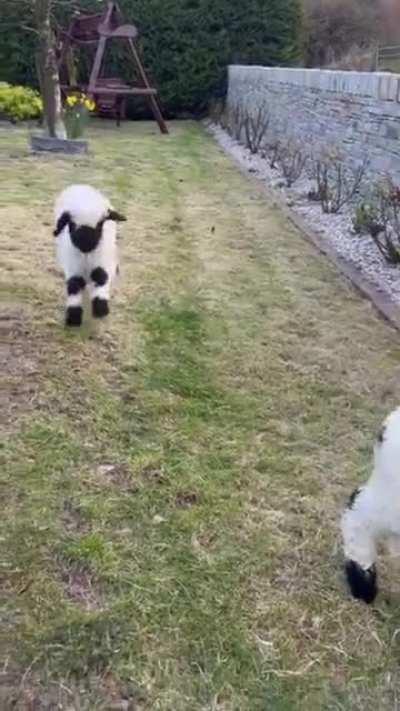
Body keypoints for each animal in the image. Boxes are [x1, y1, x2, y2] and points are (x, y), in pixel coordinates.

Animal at [54, 184, 126, 327]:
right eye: (71, 224)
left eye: (100, 224)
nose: (85, 244)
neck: (86, 257)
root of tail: (80, 186)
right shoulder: (74, 268)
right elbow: (74, 287)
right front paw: (73, 318)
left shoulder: (101, 262)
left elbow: (101, 277)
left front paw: (101, 310)